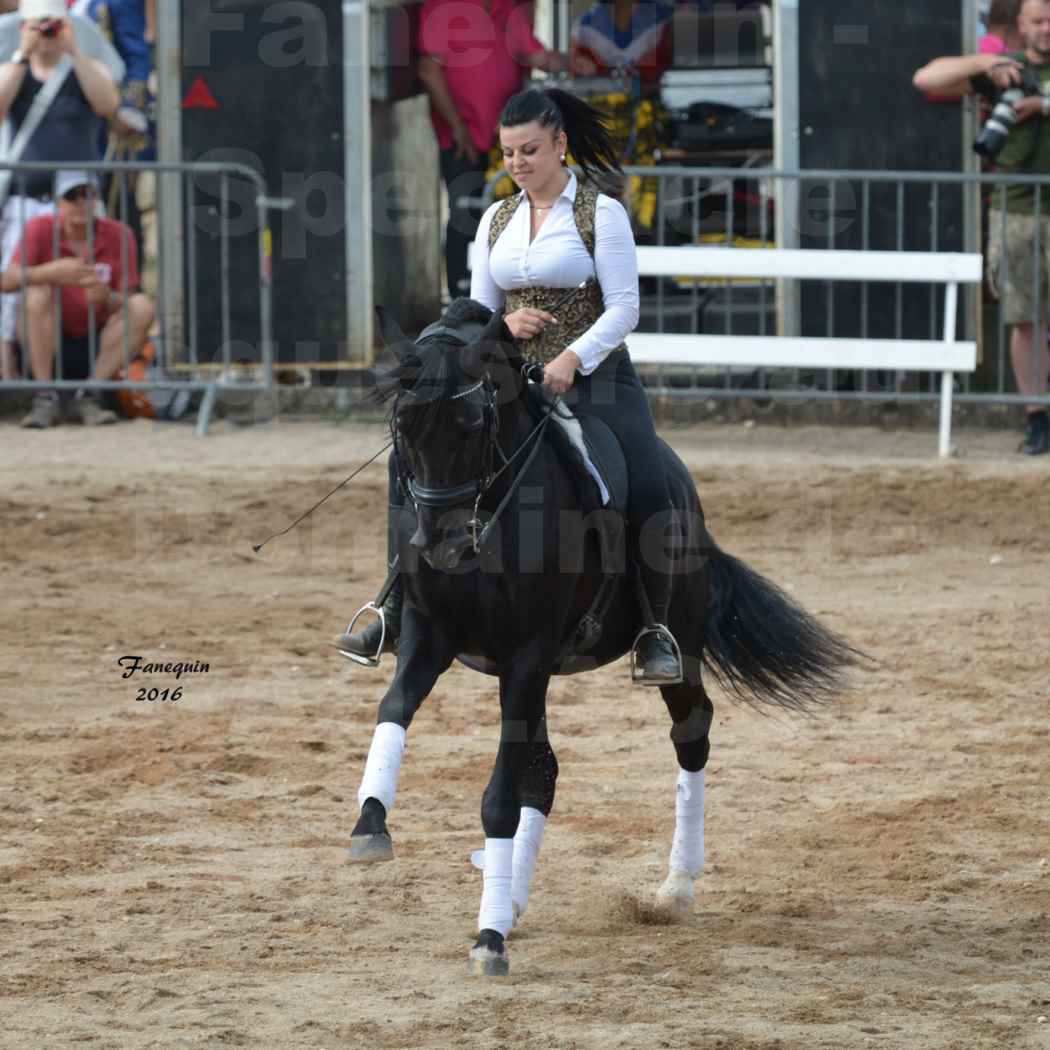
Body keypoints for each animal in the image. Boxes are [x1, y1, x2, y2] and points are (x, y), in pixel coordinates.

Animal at [348, 302, 856, 974]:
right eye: (402, 425)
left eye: (472, 420)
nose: (444, 546)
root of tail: (690, 497)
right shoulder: (433, 638)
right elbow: (395, 708)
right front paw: (370, 828)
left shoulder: (528, 653)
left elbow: (499, 796)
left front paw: (488, 942)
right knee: (544, 771)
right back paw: (514, 902)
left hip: (669, 649)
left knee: (690, 735)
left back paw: (674, 888)